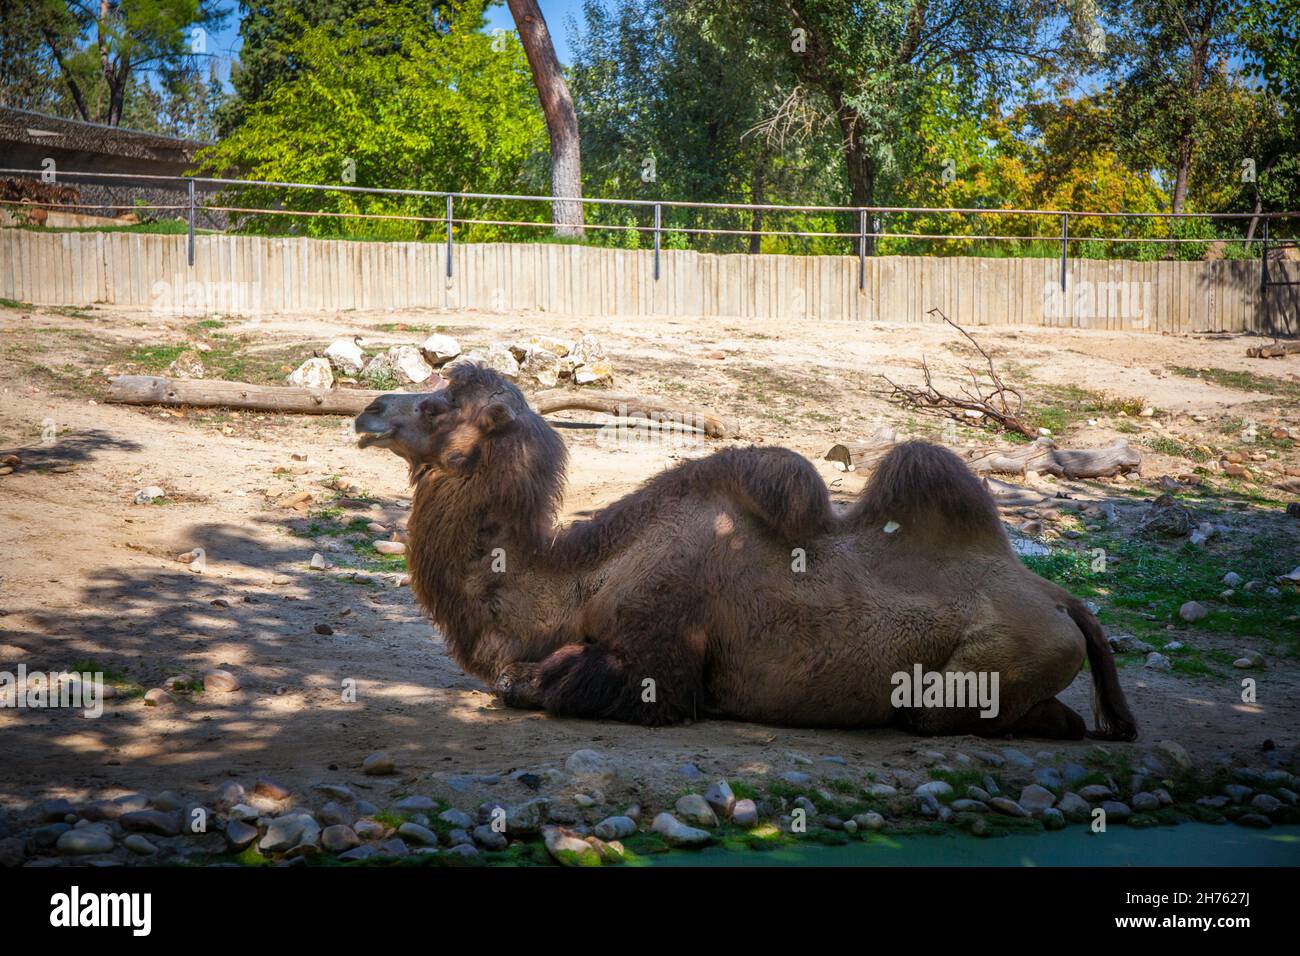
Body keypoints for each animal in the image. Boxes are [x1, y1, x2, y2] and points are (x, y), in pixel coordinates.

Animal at [354, 362, 1138, 741]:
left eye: (435, 406)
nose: (368, 411)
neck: (581, 582)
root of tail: (1066, 602)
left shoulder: (660, 665)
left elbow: (530, 684)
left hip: (998, 656)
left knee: (947, 714)